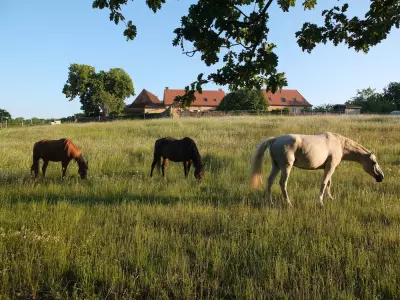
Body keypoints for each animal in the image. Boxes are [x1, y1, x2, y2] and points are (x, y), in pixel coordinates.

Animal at [250, 132, 384, 207]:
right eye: (374, 162)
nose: (381, 177)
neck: (339, 144)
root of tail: (276, 139)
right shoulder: (330, 167)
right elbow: (324, 183)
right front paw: (320, 202)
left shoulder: (328, 168)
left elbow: (329, 183)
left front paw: (330, 198)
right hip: (286, 167)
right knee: (283, 183)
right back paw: (289, 203)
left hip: (276, 166)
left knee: (270, 181)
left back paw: (270, 202)